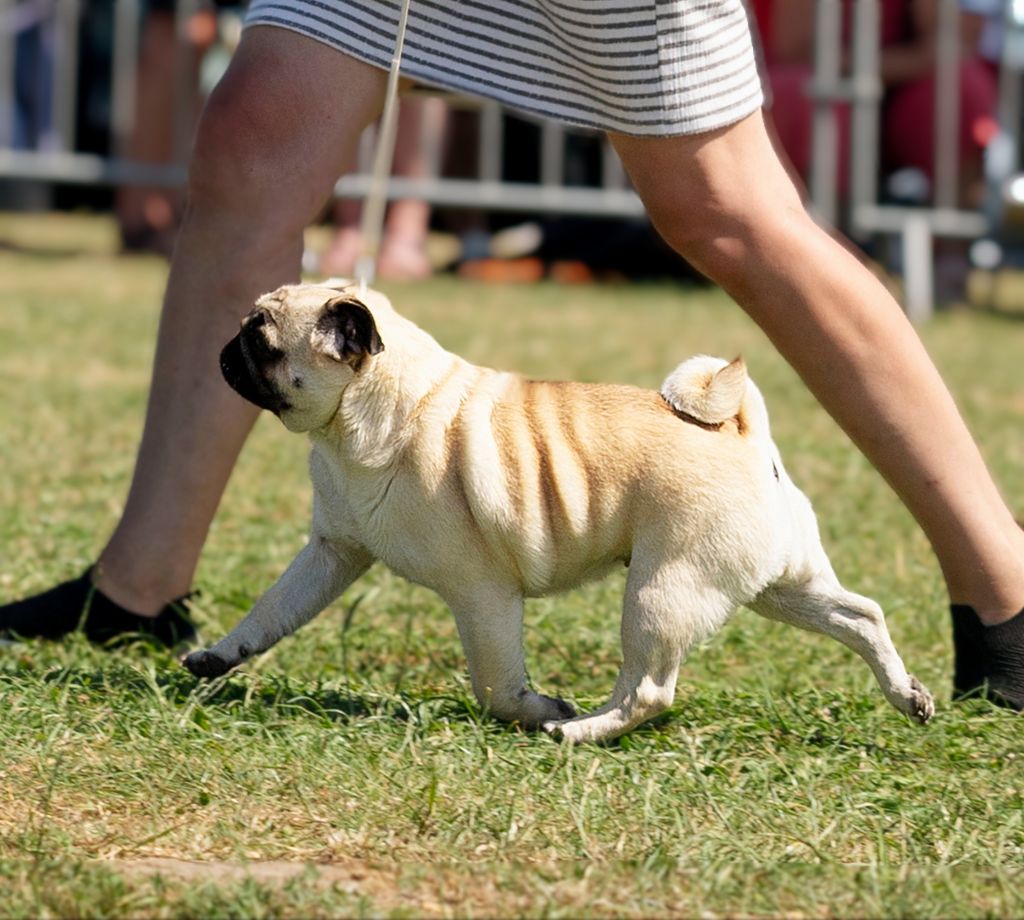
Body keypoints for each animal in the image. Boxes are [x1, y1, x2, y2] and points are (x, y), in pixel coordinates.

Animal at [180, 278, 933, 737]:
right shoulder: (332, 553)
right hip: (775, 584)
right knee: (860, 615)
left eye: (261, 341)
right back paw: (909, 696)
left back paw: (578, 729)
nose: (222, 349)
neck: (370, 416)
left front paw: (533, 708)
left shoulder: (481, 593)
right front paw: (218, 656)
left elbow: (494, 681)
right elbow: (271, 612)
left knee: (649, 690)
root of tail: (743, 433)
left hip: (664, 590)